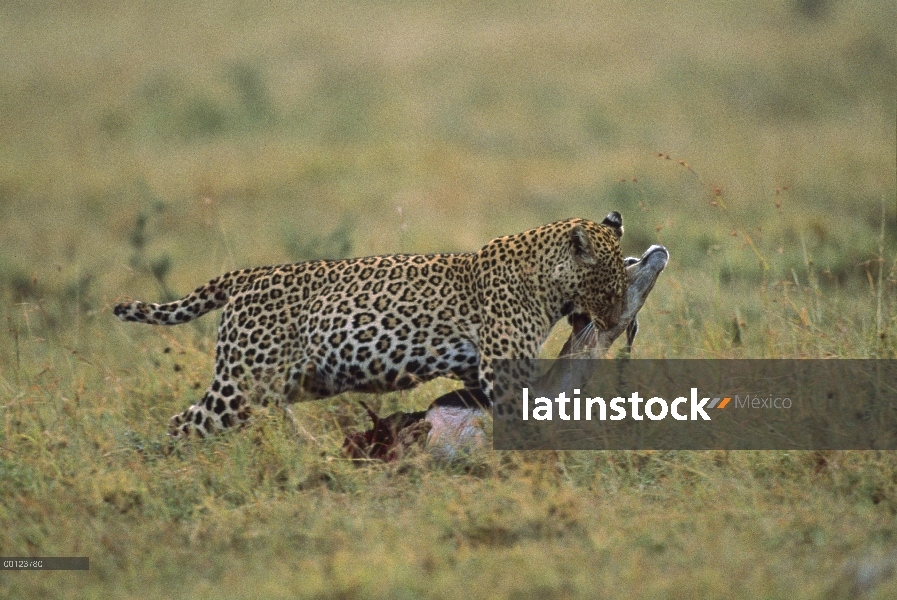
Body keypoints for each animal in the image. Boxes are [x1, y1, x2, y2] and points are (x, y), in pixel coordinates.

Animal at [114, 211, 624, 436]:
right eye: (612, 289)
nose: (617, 320)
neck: (547, 281)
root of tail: (247, 275)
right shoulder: (505, 370)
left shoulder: (477, 371)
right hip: (241, 383)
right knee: (183, 423)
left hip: (288, 381)